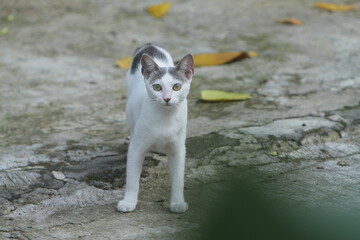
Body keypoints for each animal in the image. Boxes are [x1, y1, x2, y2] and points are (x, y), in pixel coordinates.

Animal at [117, 43, 194, 214]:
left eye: (176, 86)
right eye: (157, 87)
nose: (167, 98)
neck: (165, 118)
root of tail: (150, 45)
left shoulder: (178, 149)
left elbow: (178, 179)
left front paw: (178, 202)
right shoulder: (137, 149)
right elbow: (132, 179)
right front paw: (129, 201)